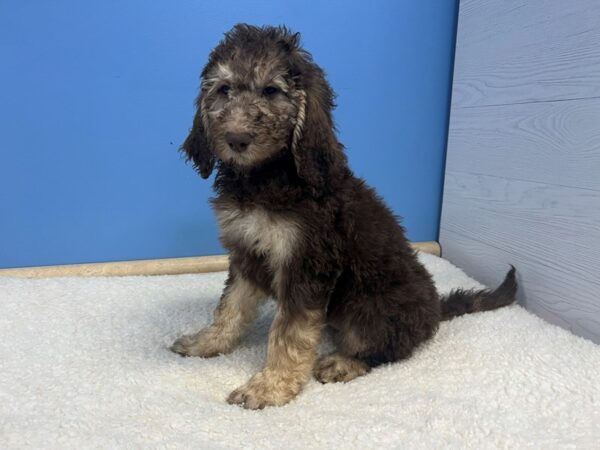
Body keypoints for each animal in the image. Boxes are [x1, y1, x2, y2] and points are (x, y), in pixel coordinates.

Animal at [170, 25, 516, 412]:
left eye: (271, 91)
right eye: (224, 90)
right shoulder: (247, 253)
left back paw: (344, 361)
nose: (236, 138)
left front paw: (270, 386)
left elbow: (290, 332)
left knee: (387, 347)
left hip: (372, 304)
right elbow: (230, 307)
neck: (267, 177)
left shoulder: (307, 264)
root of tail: (433, 310)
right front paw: (207, 342)